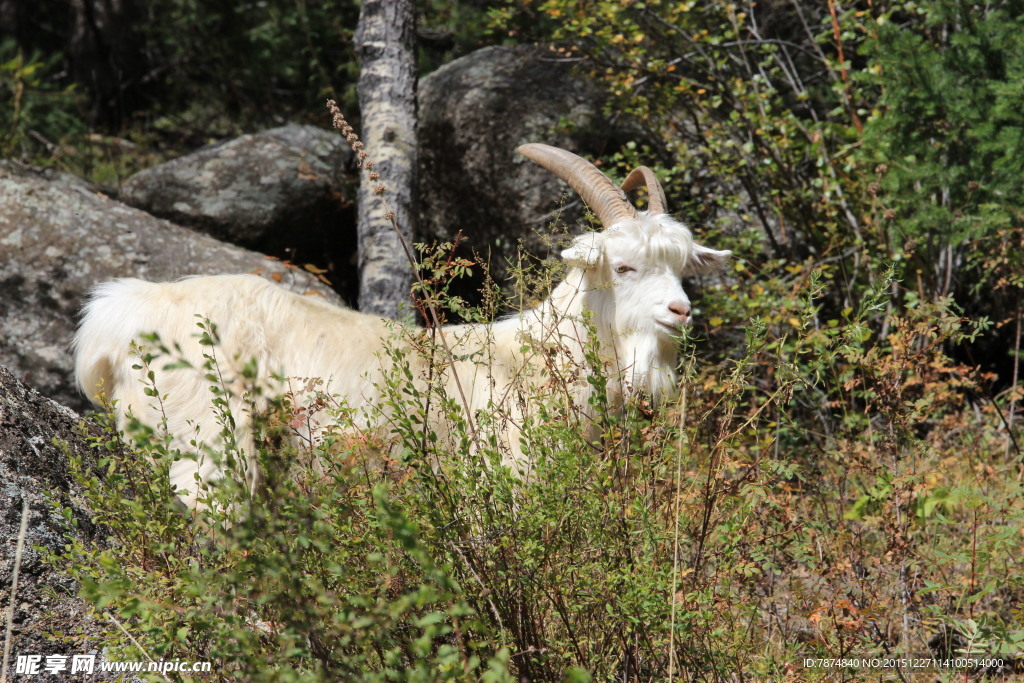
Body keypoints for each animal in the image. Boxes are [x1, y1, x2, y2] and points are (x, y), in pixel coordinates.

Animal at [74, 144, 729, 507]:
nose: (680, 312)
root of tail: (123, 311)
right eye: (623, 266)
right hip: (208, 449)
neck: (530, 360)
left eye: (682, 270)